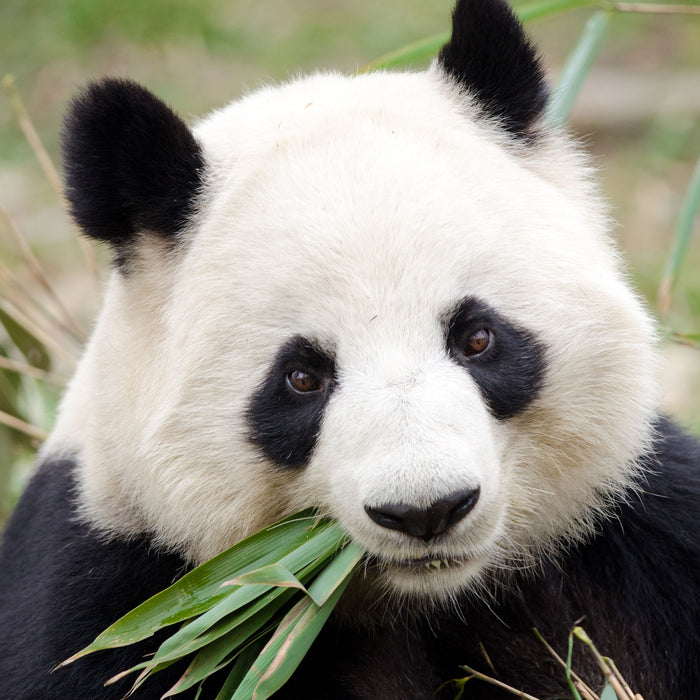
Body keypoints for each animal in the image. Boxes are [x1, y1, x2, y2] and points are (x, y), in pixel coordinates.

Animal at [1, 0, 700, 696]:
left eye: (477, 337)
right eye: (302, 377)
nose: (426, 510)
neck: (429, 598)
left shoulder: (635, 540)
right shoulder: (117, 593)